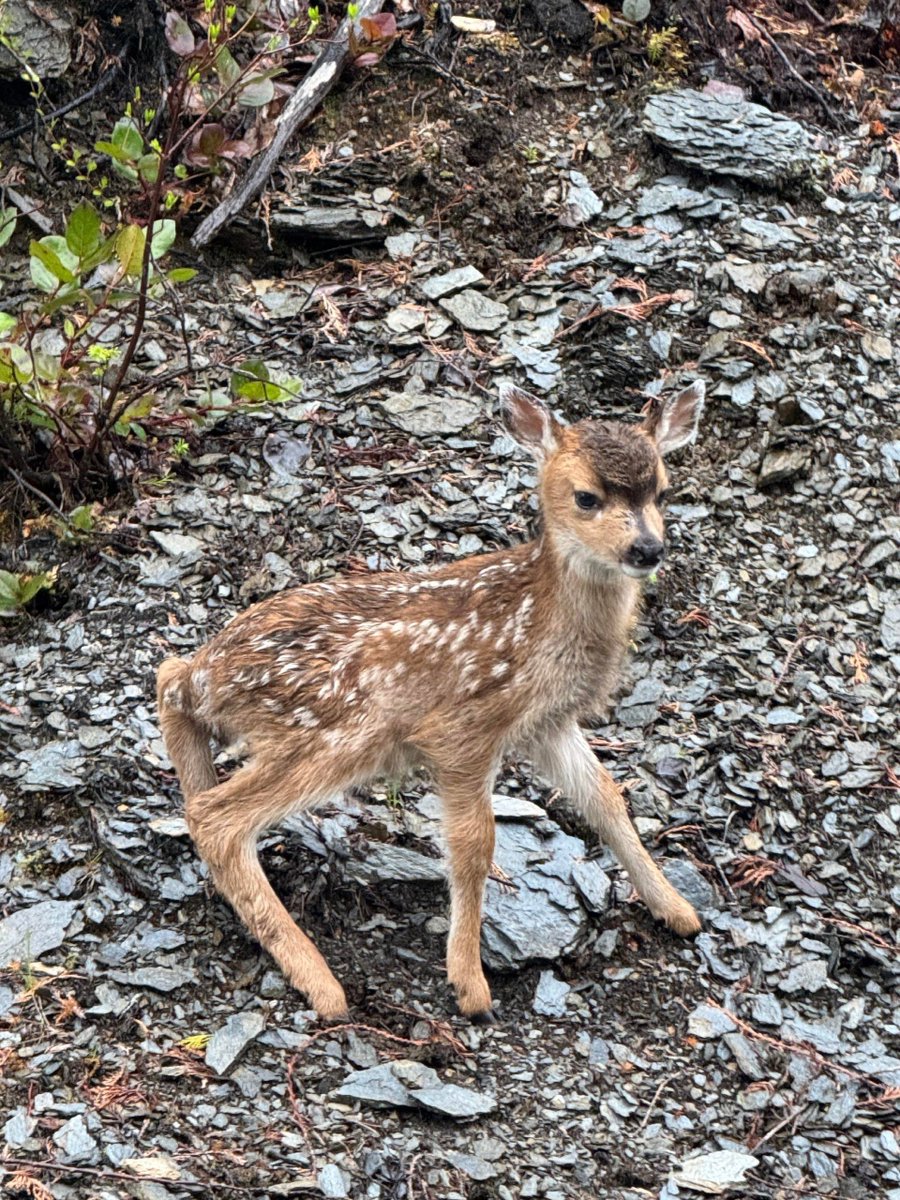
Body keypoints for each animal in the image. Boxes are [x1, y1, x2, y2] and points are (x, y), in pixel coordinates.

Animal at [156, 380, 706, 1022]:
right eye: (586, 497)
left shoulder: (547, 722)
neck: (541, 624)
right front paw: (469, 984)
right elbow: (474, 843)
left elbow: (607, 801)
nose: (647, 548)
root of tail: (210, 675)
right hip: (338, 724)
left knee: (168, 680)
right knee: (215, 816)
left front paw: (677, 909)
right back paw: (322, 984)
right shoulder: (463, 727)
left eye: (662, 491)